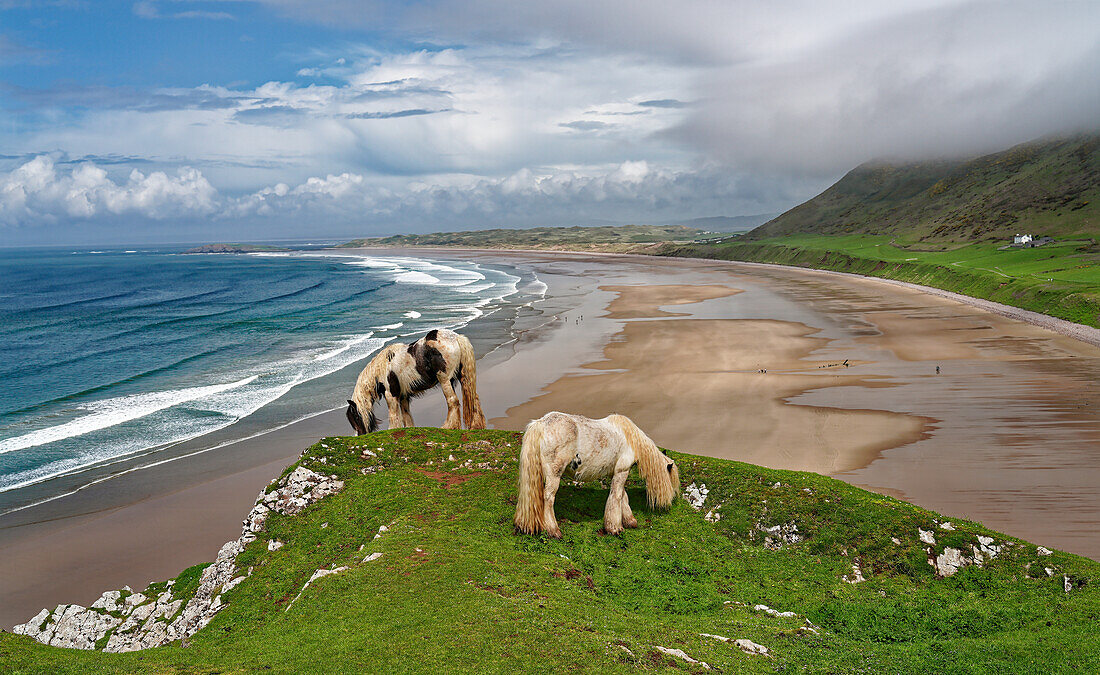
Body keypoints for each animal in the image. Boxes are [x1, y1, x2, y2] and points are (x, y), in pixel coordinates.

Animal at [343, 329, 481, 437]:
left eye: (356, 417)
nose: (360, 435)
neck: (382, 369)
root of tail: (456, 337)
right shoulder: (403, 396)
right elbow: (406, 415)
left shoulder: (391, 395)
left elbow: (393, 415)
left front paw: (392, 430)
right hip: (461, 378)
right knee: (473, 398)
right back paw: (476, 426)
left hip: (445, 380)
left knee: (453, 401)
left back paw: (449, 426)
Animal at [514, 413, 677, 538]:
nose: (671, 503)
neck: (630, 439)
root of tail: (541, 424)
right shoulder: (622, 471)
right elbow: (617, 496)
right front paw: (615, 528)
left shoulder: (616, 473)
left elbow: (622, 496)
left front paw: (630, 521)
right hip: (554, 475)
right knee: (548, 498)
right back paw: (553, 531)